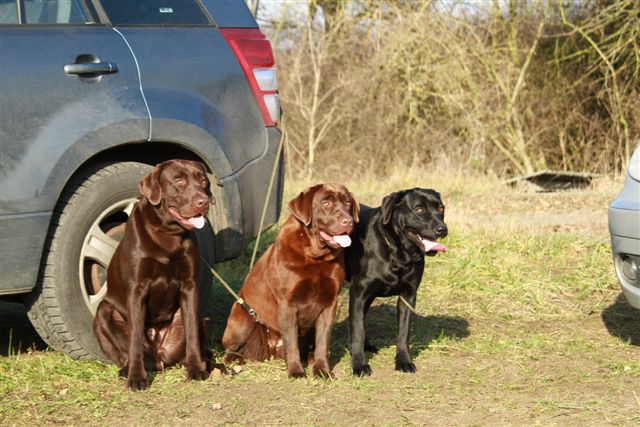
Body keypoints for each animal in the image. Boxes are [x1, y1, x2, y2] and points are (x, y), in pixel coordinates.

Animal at [94, 160, 212, 392]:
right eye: (179, 180)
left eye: (203, 180)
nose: (203, 202)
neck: (167, 234)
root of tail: (158, 358)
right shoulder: (136, 290)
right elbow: (134, 340)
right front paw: (136, 378)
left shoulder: (189, 287)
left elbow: (192, 334)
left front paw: (195, 369)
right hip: (103, 311)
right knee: (124, 351)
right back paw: (126, 370)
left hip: (197, 317)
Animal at [222, 184, 358, 378]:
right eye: (326, 203)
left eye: (347, 202)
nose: (348, 221)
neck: (315, 256)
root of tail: (272, 350)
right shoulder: (288, 302)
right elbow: (291, 342)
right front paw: (296, 371)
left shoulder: (330, 303)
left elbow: (323, 342)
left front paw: (323, 370)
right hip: (242, 318)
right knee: (231, 348)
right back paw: (234, 359)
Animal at [348, 189, 448, 376]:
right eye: (419, 209)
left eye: (441, 208)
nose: (442, 229)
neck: (398, 254)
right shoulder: (358, 293)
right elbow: (357, 330)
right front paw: (358, 365)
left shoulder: (408, 296)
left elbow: (404, 332)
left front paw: (404, 361)